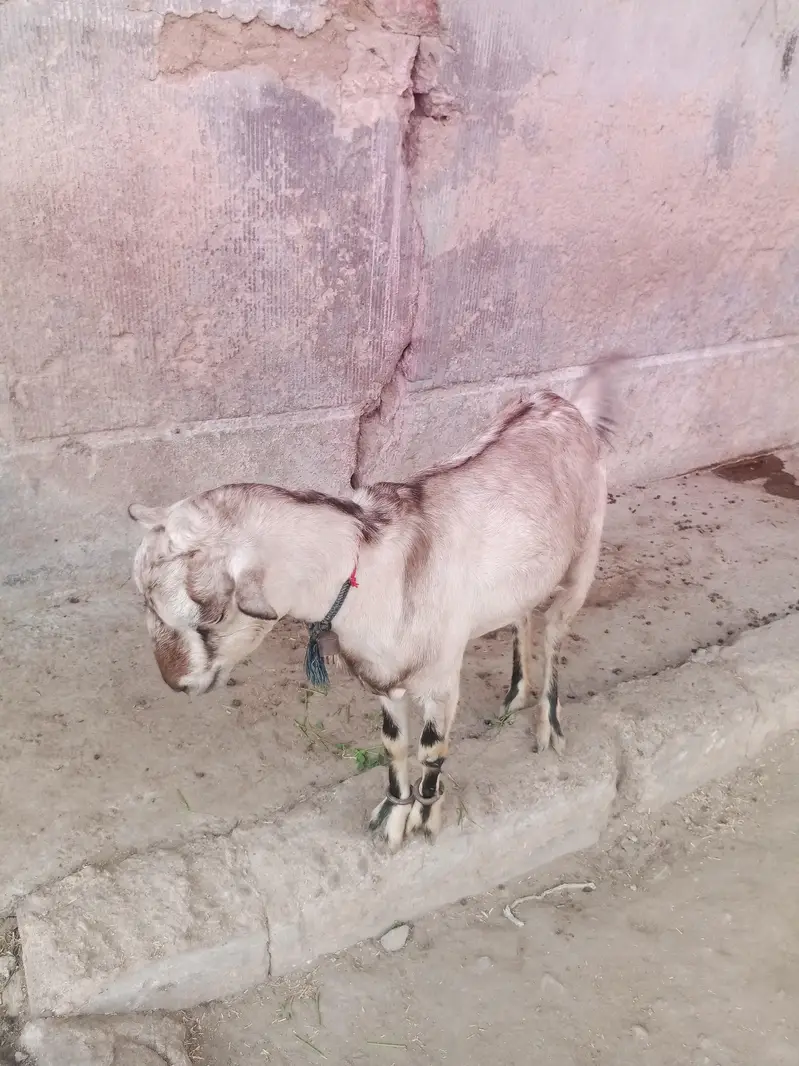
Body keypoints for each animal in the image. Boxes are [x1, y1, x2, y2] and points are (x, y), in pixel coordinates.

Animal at [129, 356, 621, 851]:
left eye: (209, 614)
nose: (175, 683)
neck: (376, 566)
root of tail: (563, 404)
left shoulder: (441, 677)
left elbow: (432, 747)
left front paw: (426, 817)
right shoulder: (385, 678)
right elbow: (393, 742)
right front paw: (392, 814)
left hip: (585, 555)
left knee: (554, 630)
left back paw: (549, 726)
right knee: (521, 615)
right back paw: (516, 693)